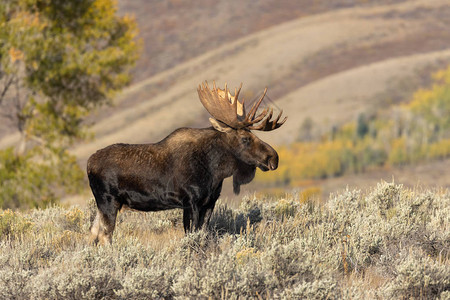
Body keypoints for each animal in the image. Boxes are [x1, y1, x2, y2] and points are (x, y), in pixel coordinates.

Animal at [86, 81, 286, 244]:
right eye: (245, 138)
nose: (273, 158)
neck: (215, 172)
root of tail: (88, 164)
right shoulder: (190, 201)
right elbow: (191, 235)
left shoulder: (209, 202)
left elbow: (204, 234)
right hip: (108, 200)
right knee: (105, 235)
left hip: (103, 204)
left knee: (93, 232)